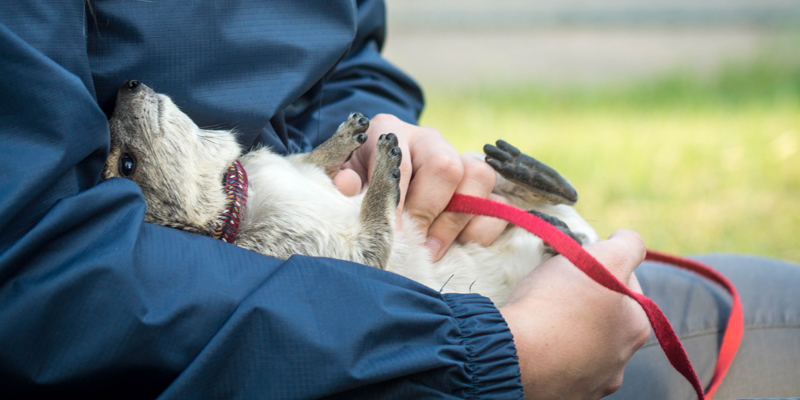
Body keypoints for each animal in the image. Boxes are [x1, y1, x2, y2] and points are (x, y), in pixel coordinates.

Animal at [103, 80, 596, 306]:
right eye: (127, 164)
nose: (122, 86)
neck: (243, 188)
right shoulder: (311, 248)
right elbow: (371, 243)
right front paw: (384, 172)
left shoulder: (296, 168)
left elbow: (314, 160)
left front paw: (345, 138)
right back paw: (557, 232)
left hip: (489, 171)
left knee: (557, 192)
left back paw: (528, 170)